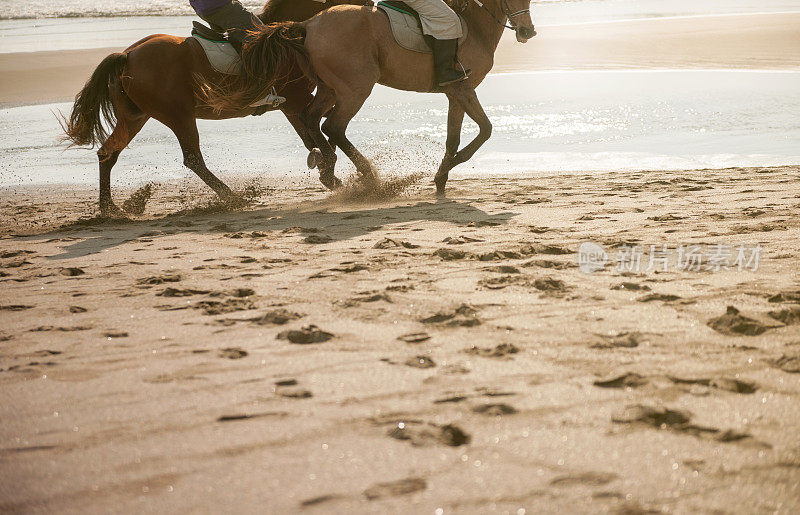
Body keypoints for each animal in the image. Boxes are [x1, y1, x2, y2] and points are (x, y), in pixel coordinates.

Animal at [60, 0, 368, 216]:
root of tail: (126, 55)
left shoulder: (293, 105)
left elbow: (312, 135)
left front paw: (328, 171)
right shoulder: (295, 101)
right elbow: (314, 132)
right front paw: (331, 174)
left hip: (135, 117)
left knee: (107, 153)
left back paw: (111, 208)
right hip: (178, 115)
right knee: (193, 159)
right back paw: (233, 197)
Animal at [202, 0, 536, 196]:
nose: (528, 32)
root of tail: (308, 24)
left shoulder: (456, 93)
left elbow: (453, 138)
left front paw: (442, 176)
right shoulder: (464, 90)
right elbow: (485, 130)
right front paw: (445, 170)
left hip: (330, 88)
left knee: (311, 118)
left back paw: (330, 169)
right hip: (356, 88)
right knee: (333, 126)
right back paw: (368, 177)